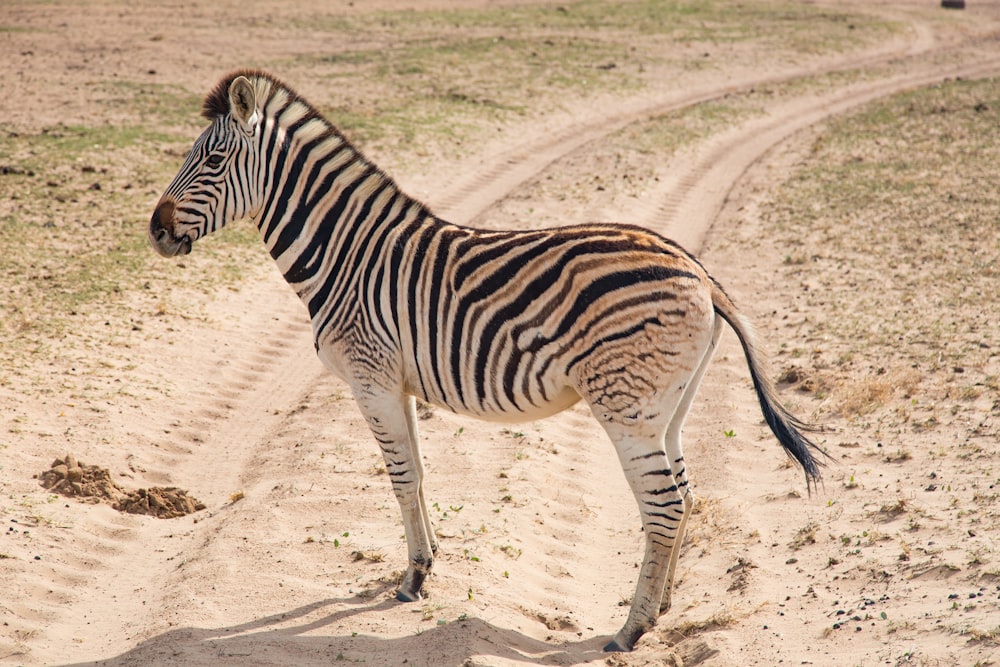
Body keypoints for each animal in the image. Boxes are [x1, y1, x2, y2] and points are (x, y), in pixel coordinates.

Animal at [146, 72, 820, 652]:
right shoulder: (398, 382)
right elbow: (418, 474)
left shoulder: (370, 376)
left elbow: (400, 478)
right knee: (685, 495)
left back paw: (630, 630)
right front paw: (426, 566)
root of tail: (698, 271)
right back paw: (664, 606)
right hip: (668, 408)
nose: (154, 231)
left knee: (664, 505)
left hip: (626, 406)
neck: (348, 254)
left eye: (211, 161)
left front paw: (412, 580)